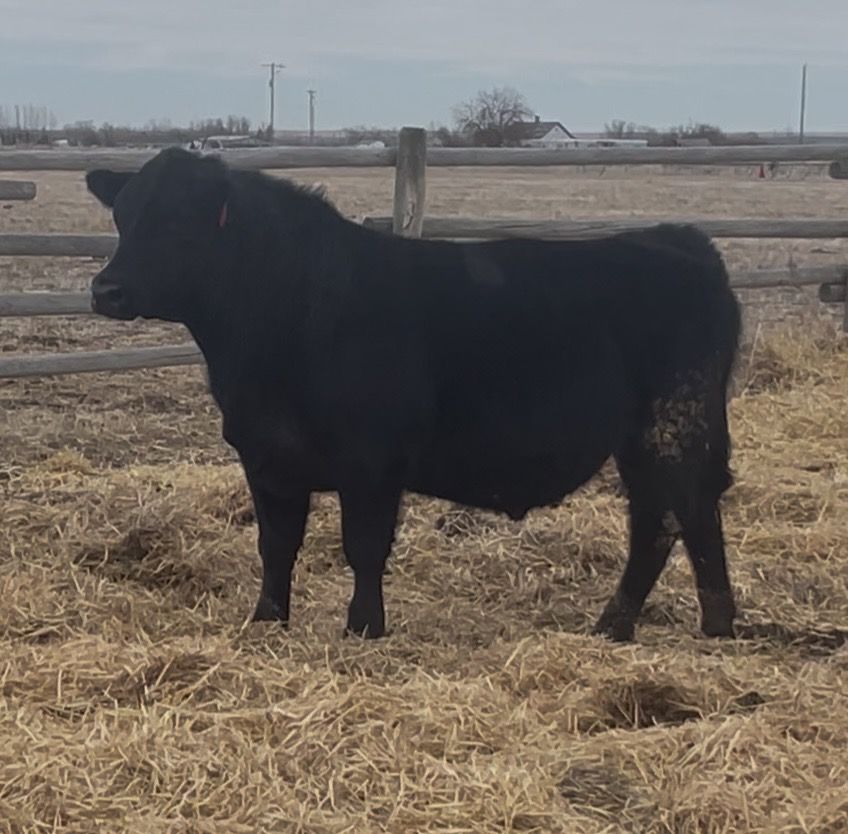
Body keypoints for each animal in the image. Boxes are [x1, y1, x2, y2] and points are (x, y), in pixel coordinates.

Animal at [85, 147, 741, 642]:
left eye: (178, 219)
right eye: (123, 216)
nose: (106, 290)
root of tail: (679, 242)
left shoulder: (371, 460)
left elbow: (364, 547)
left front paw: (363, 629)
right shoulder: (266, 457)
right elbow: (276, 546)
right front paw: (267, 622)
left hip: (670, 426)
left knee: (674, 516)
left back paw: (650, 624)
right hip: (657, 435)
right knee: (680, 515)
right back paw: (686, 623)